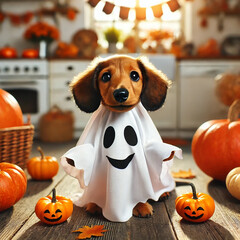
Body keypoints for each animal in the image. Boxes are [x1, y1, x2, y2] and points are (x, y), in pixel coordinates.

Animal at [62, 55, 182, 222]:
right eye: (106, 76)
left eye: (135, 75)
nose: (121, 94)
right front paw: (94, 204)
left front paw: (141, 205)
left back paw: (163, 192)